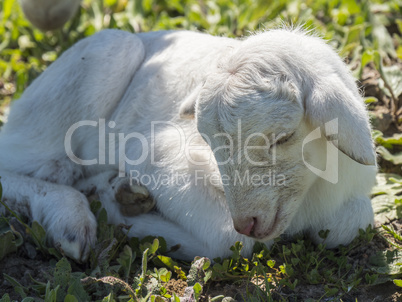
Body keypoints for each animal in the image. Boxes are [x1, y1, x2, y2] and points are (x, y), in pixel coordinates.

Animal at [0, 28, 376, 262]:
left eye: (283, 138)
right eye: (208, 143)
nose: (247, 222)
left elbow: (351, 222)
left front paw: (120, 198)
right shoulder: (153, 150)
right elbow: (230, 242)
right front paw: (122, 216)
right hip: (101, 60)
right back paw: (71, 216)